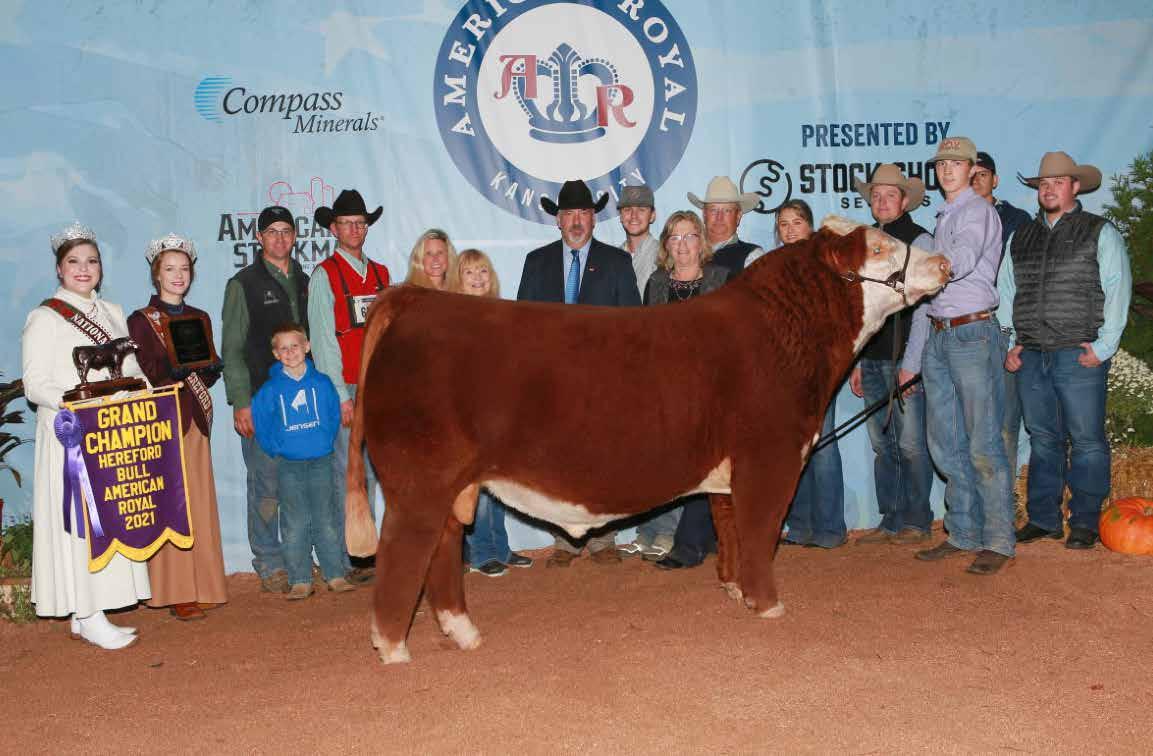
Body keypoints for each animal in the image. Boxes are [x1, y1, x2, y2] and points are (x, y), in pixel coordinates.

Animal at [344, 217, 951, 664]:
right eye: (879, 247)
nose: (944, 262)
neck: (785, 335)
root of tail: (418, 301)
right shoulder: (771, 457)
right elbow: (760, 532)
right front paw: (767, 604)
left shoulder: (730, 472)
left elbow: (730, 529)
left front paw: (734, 590)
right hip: (419, 483)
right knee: (404, 553)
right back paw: (393, 648)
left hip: (451, 486)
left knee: (443, 548)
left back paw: (463, 632)